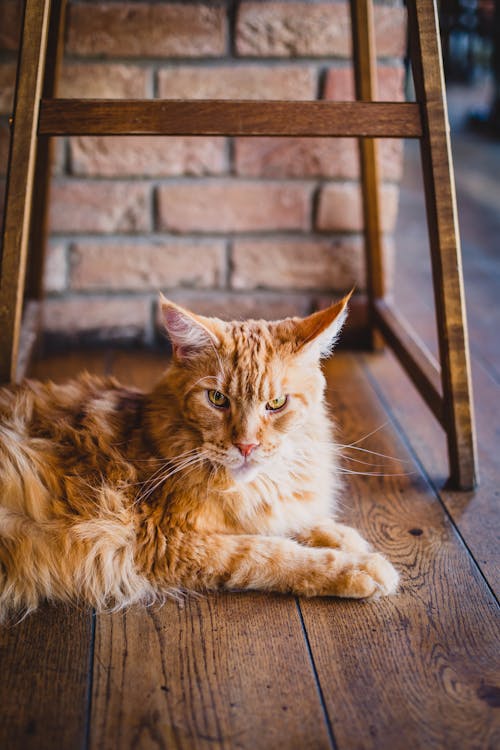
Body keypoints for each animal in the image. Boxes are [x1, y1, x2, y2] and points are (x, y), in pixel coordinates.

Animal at [0, 294, 398, 624]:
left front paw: (342, 536)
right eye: (218, 399)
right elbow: (270, 552)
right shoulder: (167, 540)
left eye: (276, 403)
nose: (246, 445)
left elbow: (295, 522)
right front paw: (358, 568)